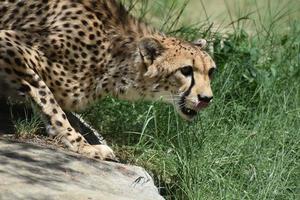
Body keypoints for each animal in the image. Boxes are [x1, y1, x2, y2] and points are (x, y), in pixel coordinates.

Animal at [0, 0, 216, 160]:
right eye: (186, 70)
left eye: (211, 71)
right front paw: (80, 144)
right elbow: (49, 100)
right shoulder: (8, 42)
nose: (206, 99)